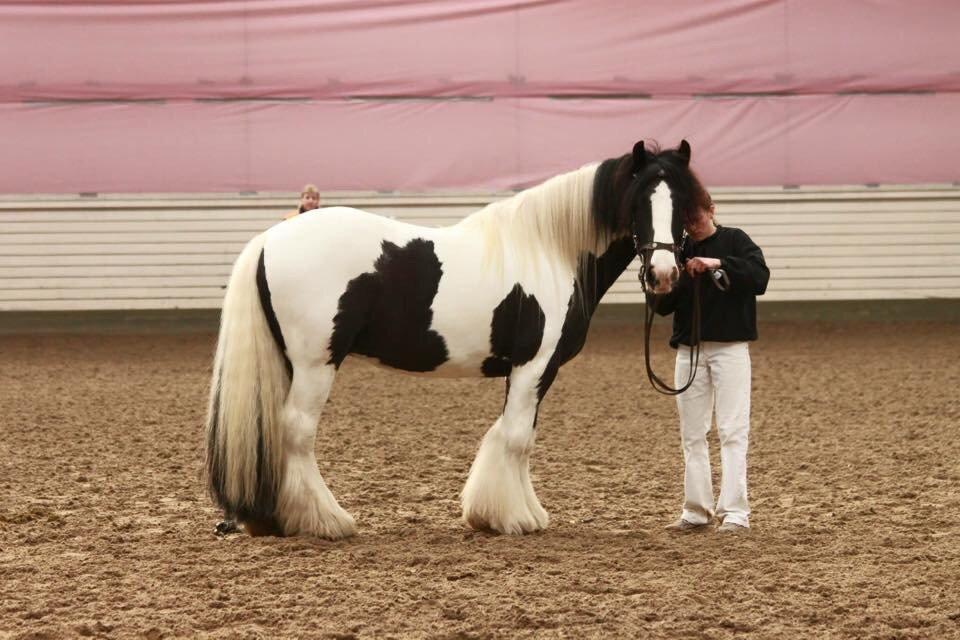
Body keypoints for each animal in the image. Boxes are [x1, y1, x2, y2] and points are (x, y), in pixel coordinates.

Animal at [206, 141, 692, 540]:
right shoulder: (534, 364)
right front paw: (513, 517)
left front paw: (516, 512)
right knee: (296, 431)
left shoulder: (530, 371)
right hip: (315, 364)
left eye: (684, 202)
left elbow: (518, 436)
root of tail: (269, 239)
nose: (664, 275)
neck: (550, 250)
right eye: (639, 201)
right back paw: (327, 520)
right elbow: (517, 437)